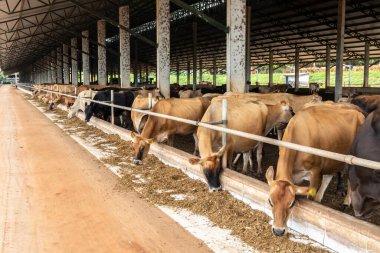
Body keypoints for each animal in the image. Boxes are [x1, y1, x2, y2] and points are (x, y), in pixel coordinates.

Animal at [266, 103, 364, 237]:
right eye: (270, 201)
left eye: (292, 203)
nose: (278, 231)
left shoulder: (315, 172)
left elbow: (310, 197)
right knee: (330, 177)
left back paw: (347, 203)